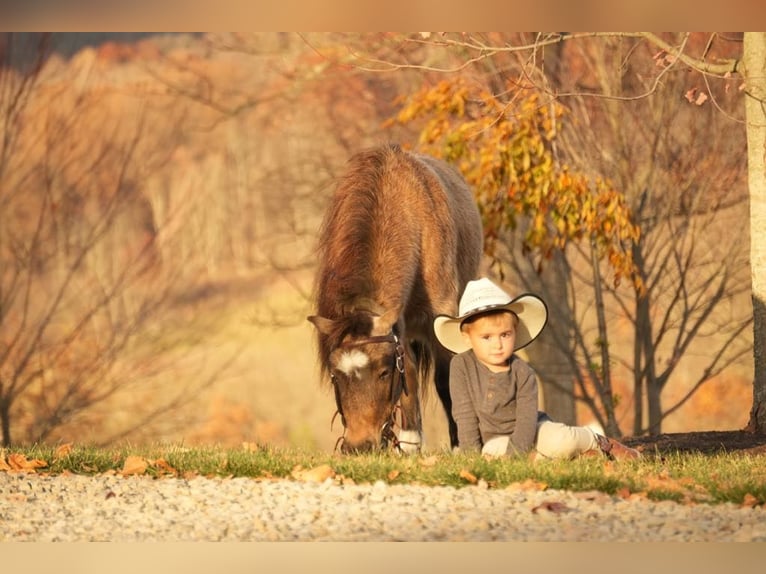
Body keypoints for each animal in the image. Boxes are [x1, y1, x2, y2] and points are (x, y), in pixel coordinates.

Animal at [308, 144, 484, 454]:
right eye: (336, 376)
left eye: (383, 372)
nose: (359, 446)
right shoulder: (398, 333)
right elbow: (410, 377)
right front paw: (410, 443)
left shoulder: (441, 321)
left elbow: (446, 378)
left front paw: (459, 446)